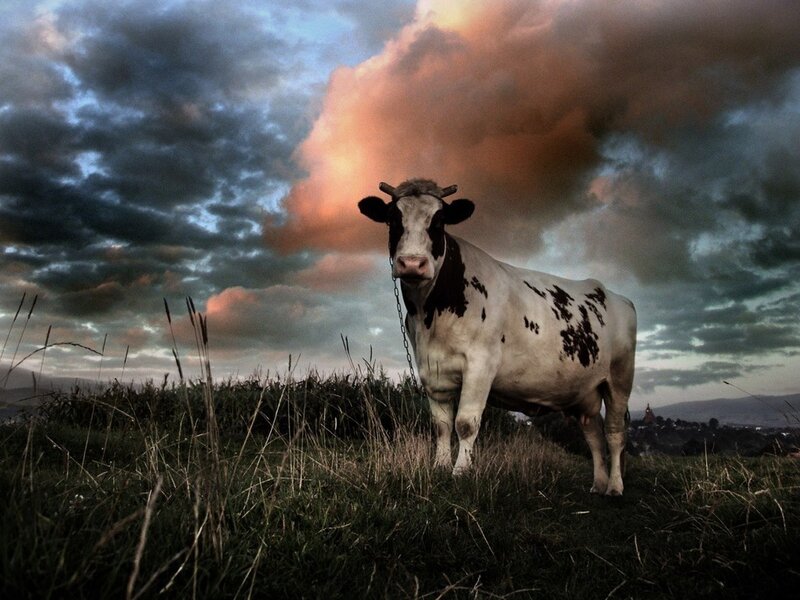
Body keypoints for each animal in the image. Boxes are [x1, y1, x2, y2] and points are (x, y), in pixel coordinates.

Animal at [359, 178, 637, 495]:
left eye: (439, 221)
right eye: (393, 219)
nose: (412, 264)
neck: (430, 315)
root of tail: (617, 297)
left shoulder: (481, 363)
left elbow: (465, 423)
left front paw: (460, 472)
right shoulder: (431, 369)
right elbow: (441, 425)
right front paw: (440, 467)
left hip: (619, 379)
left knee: (614, 434)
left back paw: (614, 486)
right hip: (584, 394)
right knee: (594, 436)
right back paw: (598, 484)